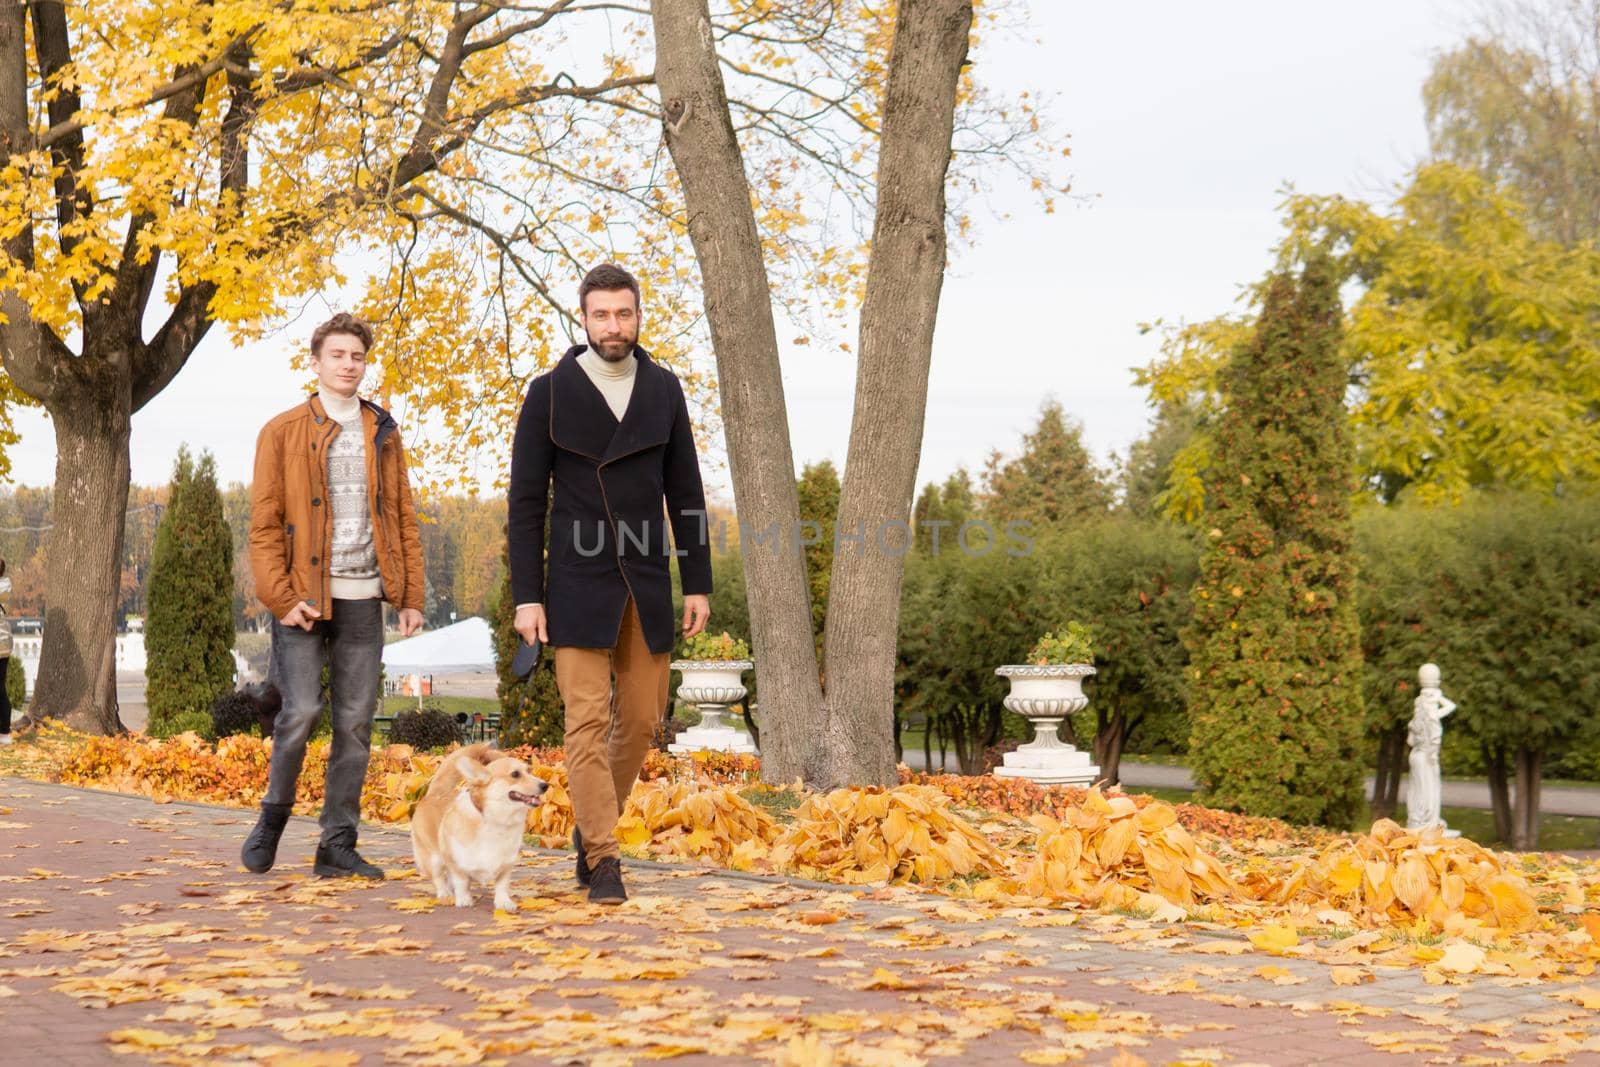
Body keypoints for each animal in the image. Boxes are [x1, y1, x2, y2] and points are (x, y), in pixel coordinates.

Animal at [409, 742, 547, 908]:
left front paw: (504, 902)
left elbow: (502, 885)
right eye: (515, 774)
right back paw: (445, 895)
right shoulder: (456, 862)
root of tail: (435, 793)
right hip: (433, 859)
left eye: (529, 771)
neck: (496, 820)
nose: (545, 785)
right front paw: (464, 899)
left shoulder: (506, 865)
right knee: (439, 878)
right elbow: (461, 881)